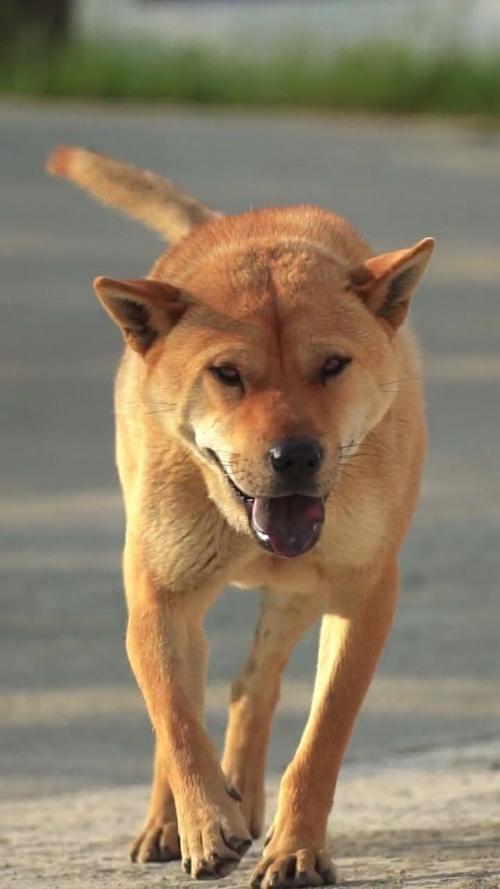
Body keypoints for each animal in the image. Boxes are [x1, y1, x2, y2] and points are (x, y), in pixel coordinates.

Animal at [47, 142, 434, 884]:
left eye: (333, 364)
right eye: (227, 373)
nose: (296, 456)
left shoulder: (364, 594)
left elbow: (320, 739)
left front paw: (296, 847)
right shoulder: (159, 598)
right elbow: (174, 717)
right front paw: (204, 823)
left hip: (298, 596)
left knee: (251, 686)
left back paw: (249, 801)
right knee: (190, 702)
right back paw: (169, 822)